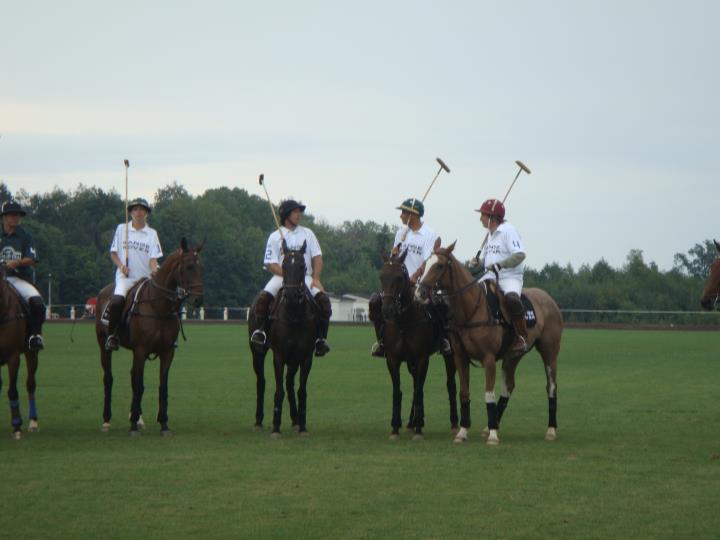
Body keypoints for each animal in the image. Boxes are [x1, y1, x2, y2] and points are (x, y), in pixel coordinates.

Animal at [95, 238, 204, 435]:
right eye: (189, 267)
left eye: (202, 267)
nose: (199, 300)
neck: (159, 307)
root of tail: (103, 291)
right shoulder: (141, 349)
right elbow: (139, 385)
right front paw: (132, 426)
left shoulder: (167, 352)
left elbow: (162, 386)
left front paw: (163, 423)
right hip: (103, 344)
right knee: (109, 378)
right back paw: (107, 420)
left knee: (132, 377)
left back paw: (137, 417)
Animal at [248, 240, 318, 438]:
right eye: (284, 266)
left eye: (302, 266)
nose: (292, 295)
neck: (293, 315)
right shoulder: (278, 355)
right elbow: (278, 390)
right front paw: (276, 428)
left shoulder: (305, 356)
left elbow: (301, 390)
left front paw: (302, 427)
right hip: (257, 352)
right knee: (261, 382)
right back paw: (258, 421)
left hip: (293, 359)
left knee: (289, 383)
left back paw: (295, 420)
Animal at [376, 249, 458, 440]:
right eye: (382, 276)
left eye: (399, 277)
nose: (387, 310)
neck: (405, 322)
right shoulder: (393, 360)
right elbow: (398, 390)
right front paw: (395, 427)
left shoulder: (422, 359)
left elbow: (419, 390)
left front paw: (419, 428)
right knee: (415, 384)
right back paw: (410, 423)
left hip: (450, 355)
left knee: (450, 385)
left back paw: (453, 423)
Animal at [416, 241, 563, 445]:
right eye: (425, 263)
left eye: (439, 266)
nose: (419, 292)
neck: (470, 310)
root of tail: (549, 299)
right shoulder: (460, 357)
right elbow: (464, 393)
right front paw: (463, 432)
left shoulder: (489, 358)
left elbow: (488, 393)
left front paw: (493, 436)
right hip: (513, 356)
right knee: (509, 386)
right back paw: (489, 426)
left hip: (550, 352)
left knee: (551, 386)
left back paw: (550, 430)